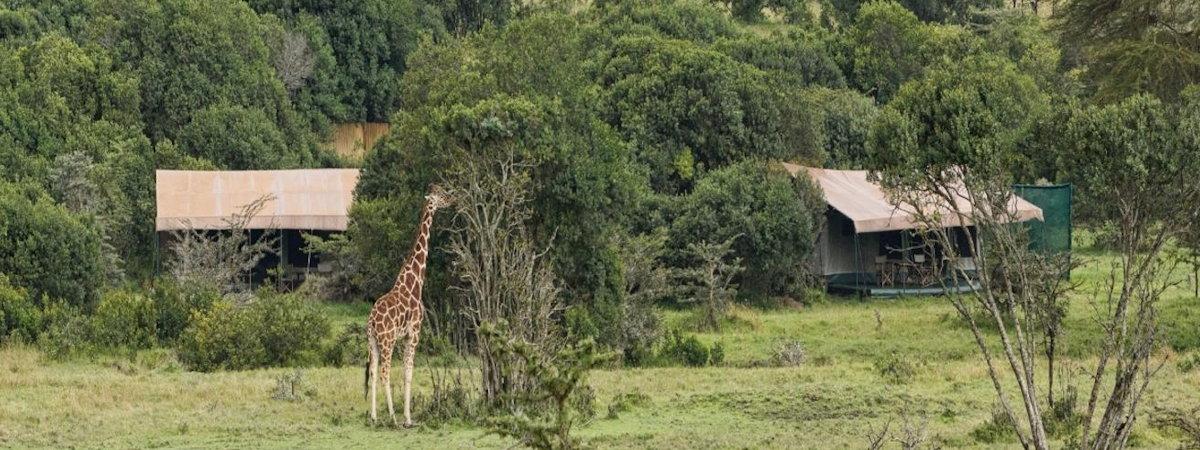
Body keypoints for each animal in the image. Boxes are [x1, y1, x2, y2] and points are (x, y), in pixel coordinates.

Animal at [362, 184, 451, 427]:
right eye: (441, 195)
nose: (453, 199)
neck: (414, 283)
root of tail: (372, 321)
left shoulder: (404, 337)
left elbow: (404, 373)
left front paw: (405, 415)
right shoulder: (414, 333)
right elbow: (409, 373)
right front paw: (408, 419)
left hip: (373, 341)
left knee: (373, 372)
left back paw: (374, 417)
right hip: (387, 340)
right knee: (384, 372)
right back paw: (391, 417)